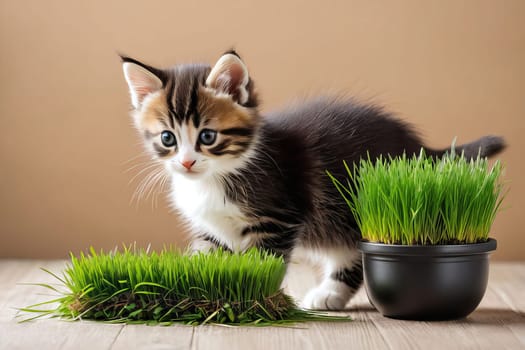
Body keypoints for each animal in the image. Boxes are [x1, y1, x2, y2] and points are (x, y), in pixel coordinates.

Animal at [121, 51, 506, 308]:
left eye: (207, 136)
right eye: (167, 138)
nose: (186, 162)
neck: (221, 173)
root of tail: (419, 149)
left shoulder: (278, 216)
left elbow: (264, 263)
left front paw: (254, 296)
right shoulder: (210, 230)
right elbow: (206, 261)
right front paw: (193, 287)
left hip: (362, 210)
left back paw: (328, 295)